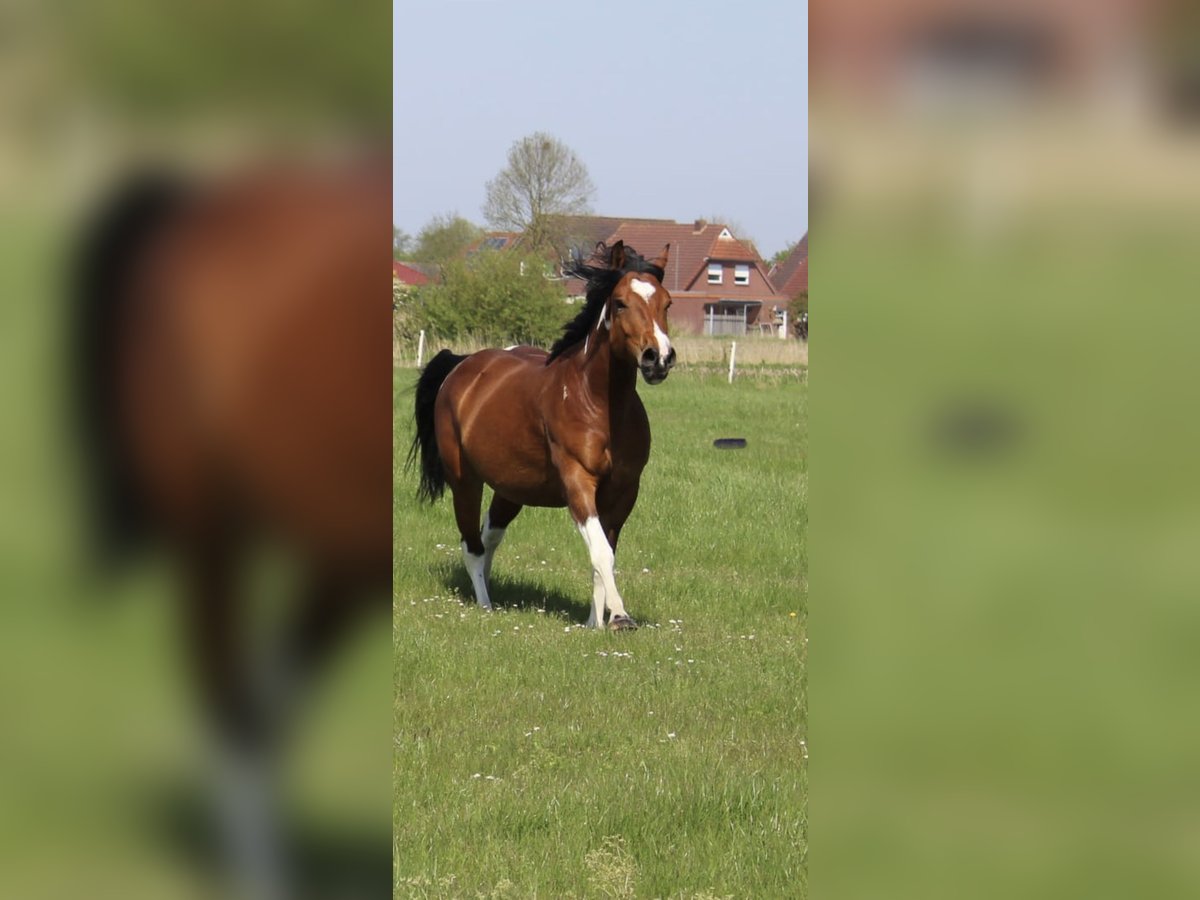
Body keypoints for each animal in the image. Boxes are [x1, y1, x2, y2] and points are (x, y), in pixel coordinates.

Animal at [408, 243, 676, 628]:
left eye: (667, 303)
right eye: (621, 302)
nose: (659, 358)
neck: (598, 404)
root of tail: (463, 365)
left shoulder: (624, 491)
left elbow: (604, 556)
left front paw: (594, 623)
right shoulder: (578, 482)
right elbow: (600, 552)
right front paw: (620, 617)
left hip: (510, 489)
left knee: (489, 537)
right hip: (464, 481)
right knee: (471, 545)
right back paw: (485, 605)